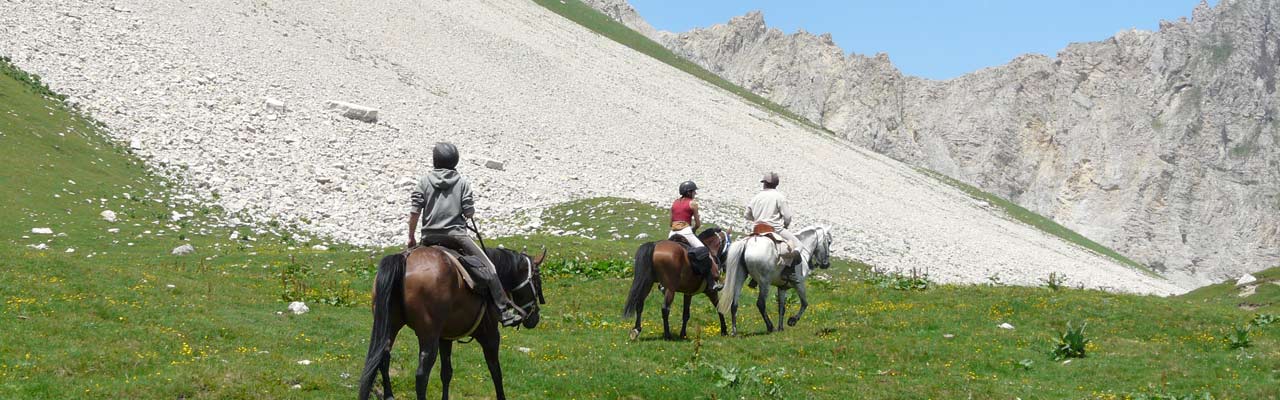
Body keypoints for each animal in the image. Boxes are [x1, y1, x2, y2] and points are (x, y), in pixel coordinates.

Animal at [355, 247, 545, 400]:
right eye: (537, 280)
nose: (535, 318)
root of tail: (406, 257)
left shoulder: (445, 338)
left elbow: (446, 372)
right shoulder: (490, 335)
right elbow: (495, 371)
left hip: (391, 326)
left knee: (384, 356)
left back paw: (389, 395)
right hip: (427, 336)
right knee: (421, 374)